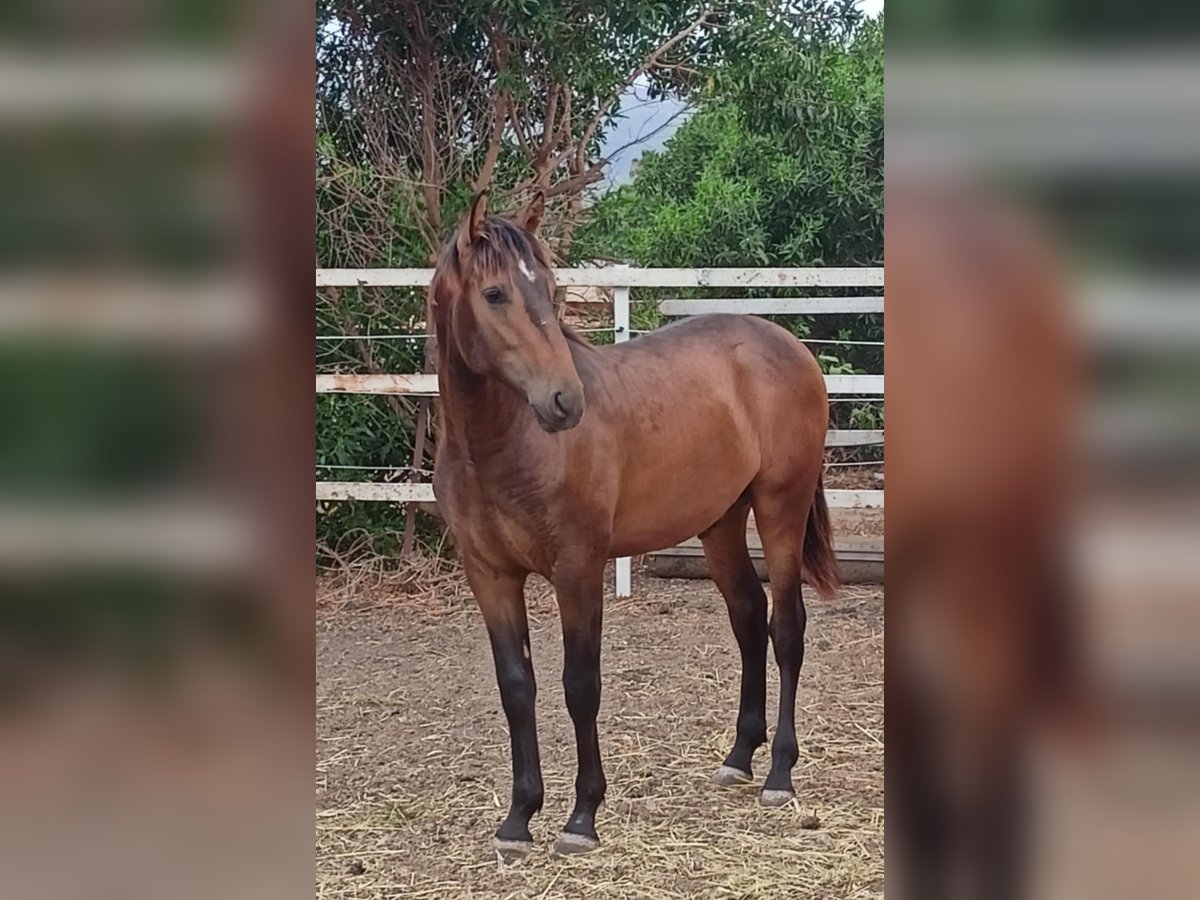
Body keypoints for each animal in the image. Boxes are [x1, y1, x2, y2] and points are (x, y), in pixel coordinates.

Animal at [429, 192, 835, 859]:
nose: (565, 401)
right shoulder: (489, 576)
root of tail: (787, 342)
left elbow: (580, 685)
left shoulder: (577, 569)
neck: (498, 447)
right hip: (720, 523)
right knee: (749, 619)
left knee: (786, 630)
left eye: (551, 290)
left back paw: (778, 773)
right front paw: (518, 819)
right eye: (494, 294)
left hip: (781, 507)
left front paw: (581, 817)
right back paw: (738, 757)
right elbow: (516, 687)